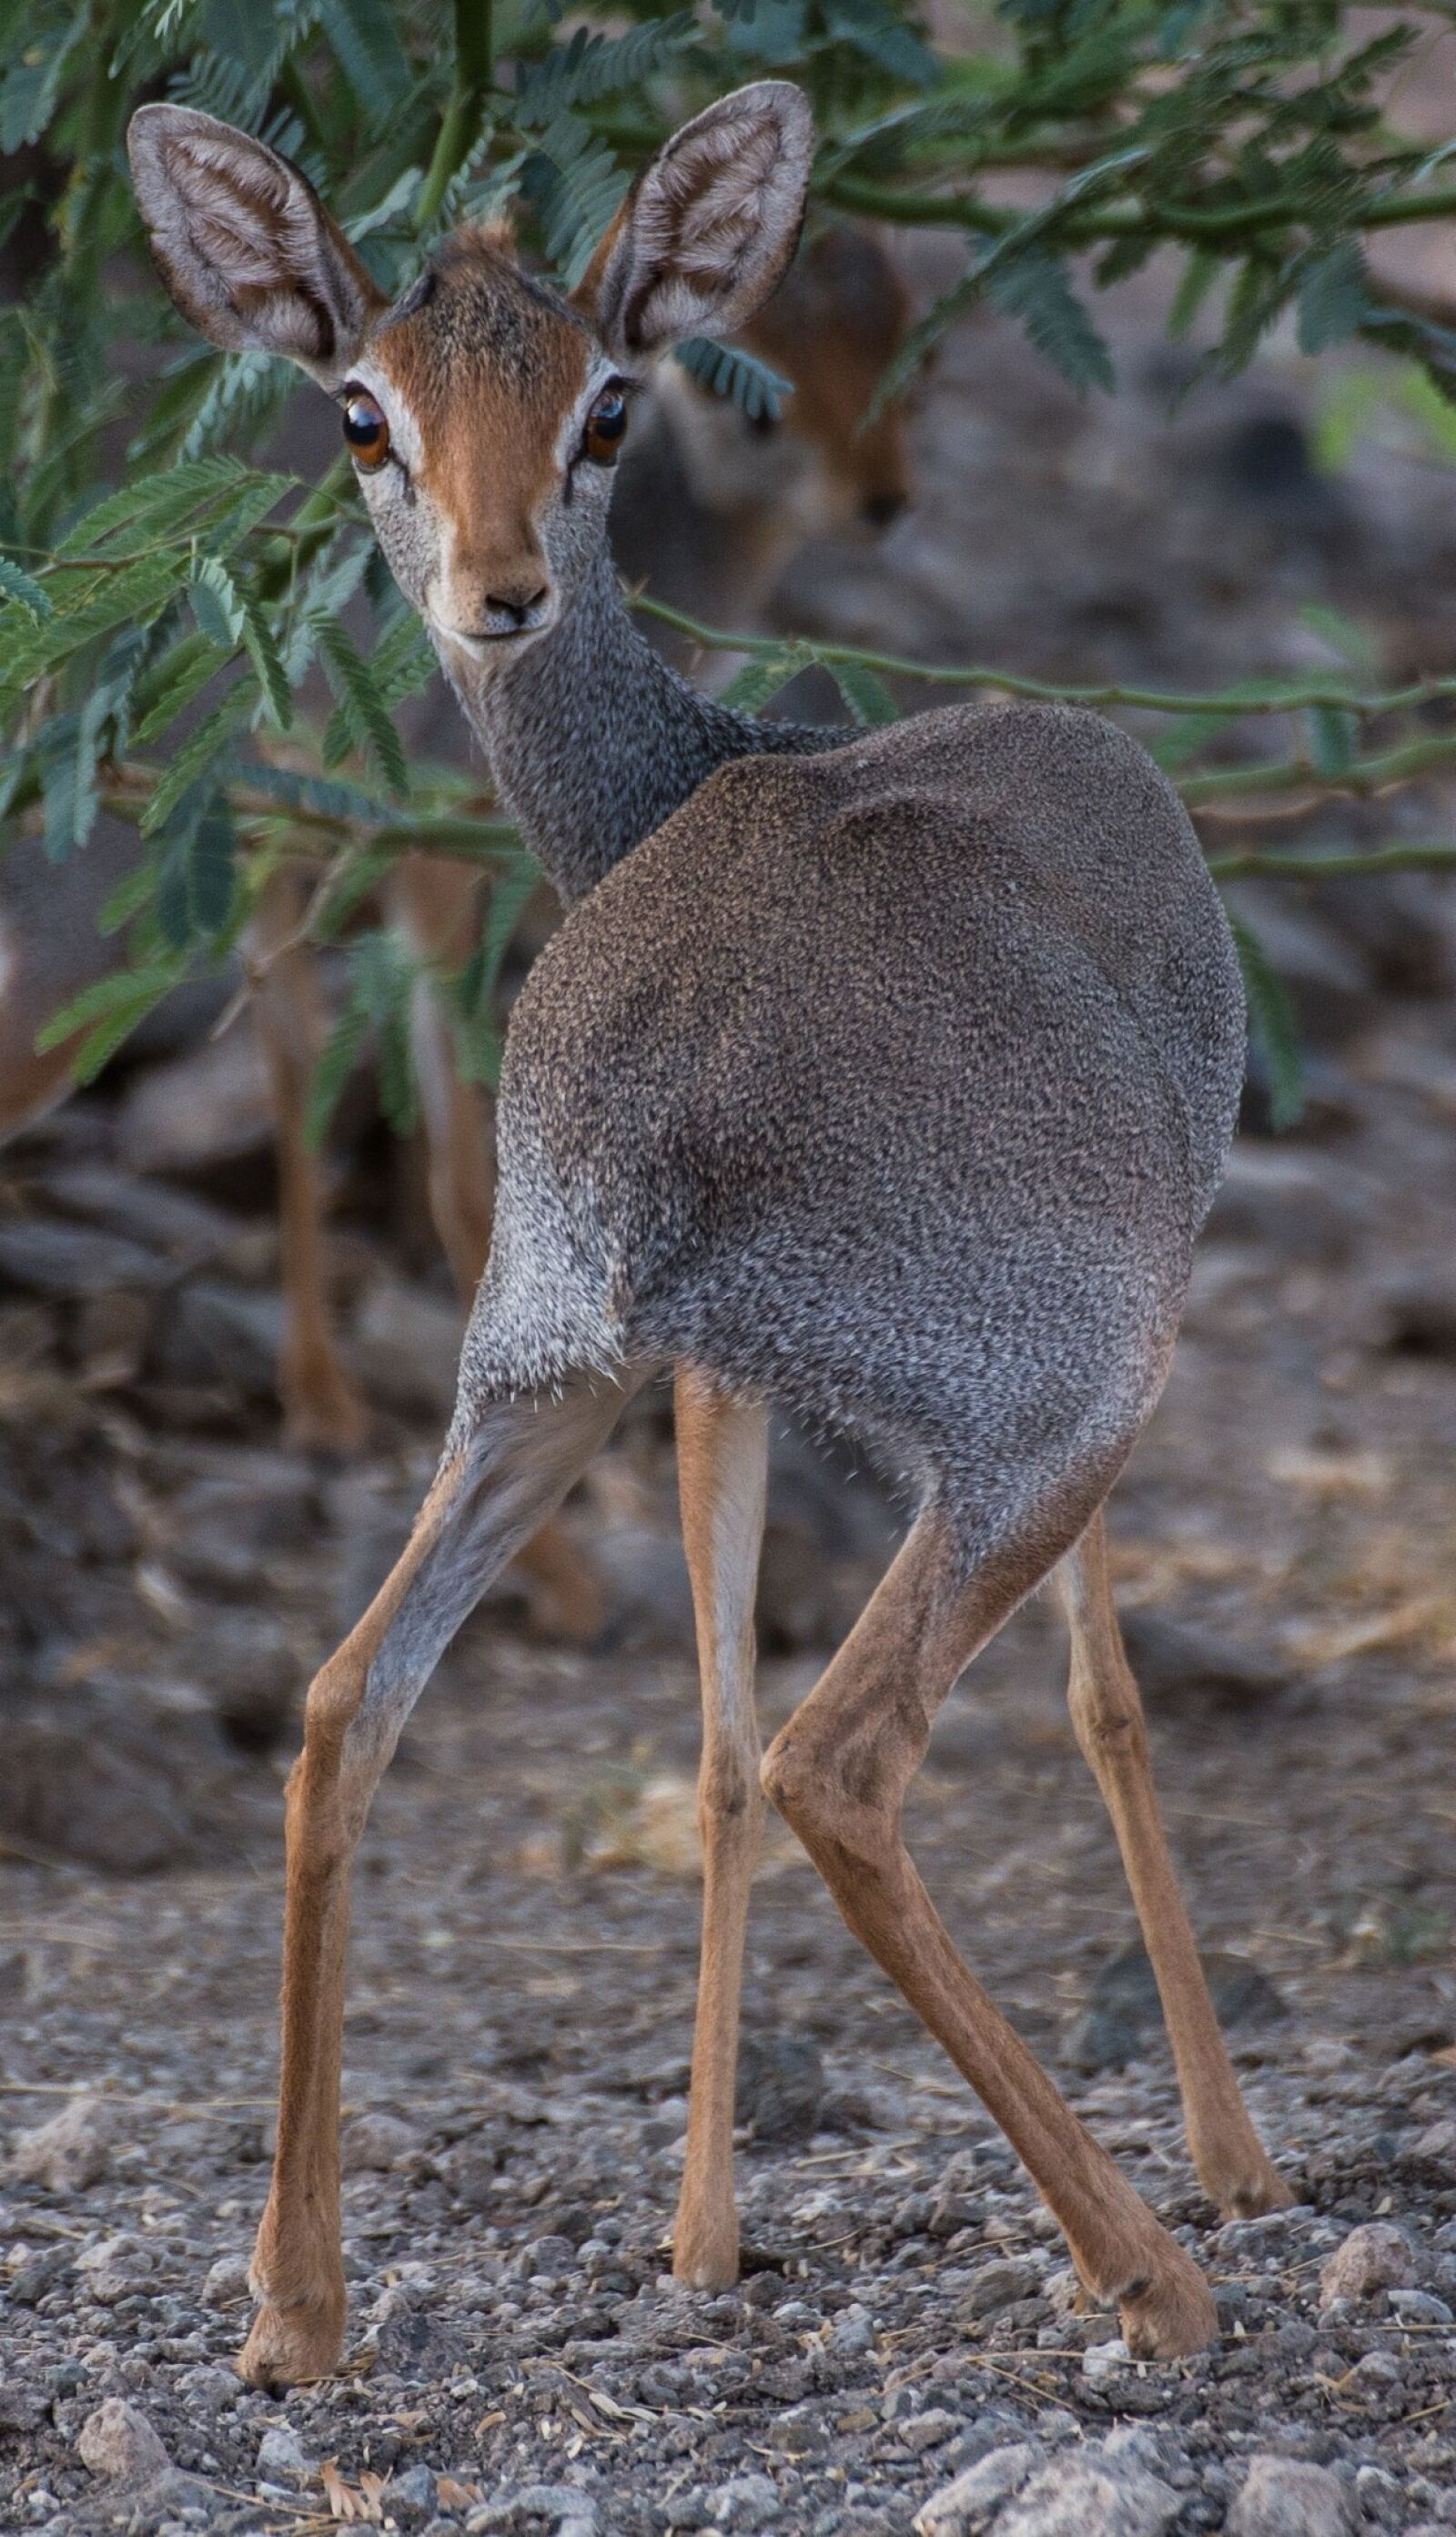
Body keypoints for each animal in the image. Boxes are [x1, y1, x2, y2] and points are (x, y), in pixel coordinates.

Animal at [128, 78, 1290, 2394]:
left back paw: (297, 2305)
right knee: (838, 1756)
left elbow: (699, 1736)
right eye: (362, 409)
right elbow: (1099, 1705)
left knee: (348, 1699)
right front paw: (1229, 2158)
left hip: (536, 1378)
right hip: (1047, 1403)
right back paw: (1147, 2266)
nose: (492, 590)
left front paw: (698, 2228)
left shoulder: (697, 1374)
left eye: (602, 402)